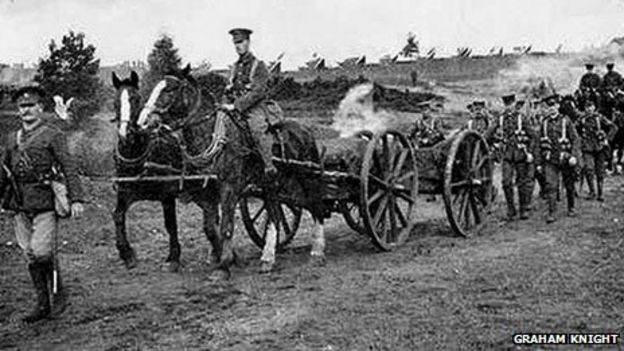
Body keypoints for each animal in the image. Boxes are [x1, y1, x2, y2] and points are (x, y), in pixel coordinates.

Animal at [110, 71, 222, 274]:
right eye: (115, 102)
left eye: (136, 99)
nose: (126, 134)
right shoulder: (124, 193)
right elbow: (118, 216)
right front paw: (127, 254)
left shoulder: (167, 195)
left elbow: (170, 224)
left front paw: (174, 257)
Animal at [136, 64, 330, 276]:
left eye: (169, 89)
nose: (142, 122)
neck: (214, 135)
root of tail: (306, 131)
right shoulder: (207, 192)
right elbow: (210, 228)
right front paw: (226, 258)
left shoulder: (229, 187)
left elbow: (226, 227)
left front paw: (223, 265)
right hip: (271, 182)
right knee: (274, 214)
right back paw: (268, 258)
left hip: (308, 176)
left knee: (316, 206)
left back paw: (317, 252)